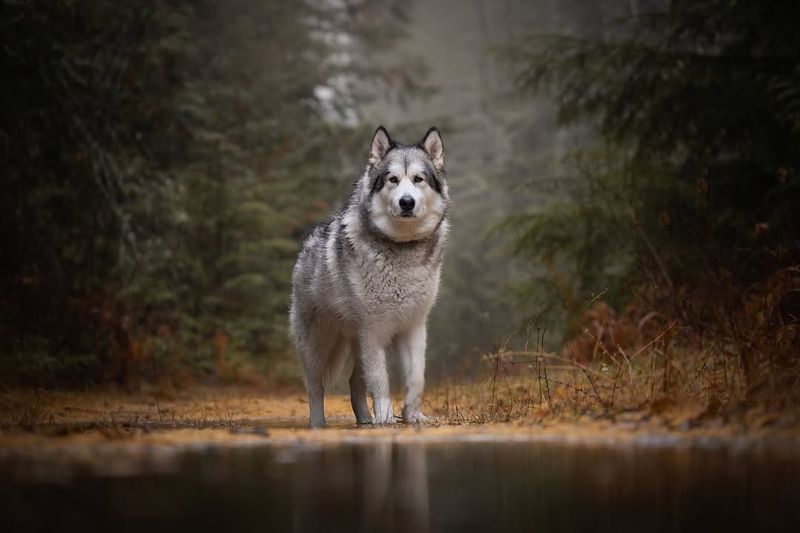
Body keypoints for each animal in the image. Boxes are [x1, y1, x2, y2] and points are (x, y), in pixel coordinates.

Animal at [290, 125, 450, 428]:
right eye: (392, 180)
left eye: (418, 179)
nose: (407, 202)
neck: (402, 250)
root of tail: (309, 241)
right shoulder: (373, 331)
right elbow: (380, 380)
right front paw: (386, 416)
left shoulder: (414, 327)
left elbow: (417, 377)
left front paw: (412, 415)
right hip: (319, 345)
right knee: (314, 386)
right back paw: (319, 423)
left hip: (356, 344)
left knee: (355, 382)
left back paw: (365, 419)